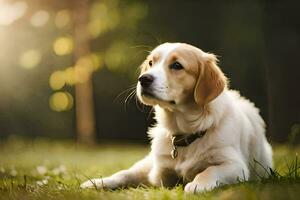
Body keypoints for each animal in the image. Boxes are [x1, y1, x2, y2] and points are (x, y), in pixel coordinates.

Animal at [81, 42, 274, 194]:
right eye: (151, 63)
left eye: (176, 65)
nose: (143, 79)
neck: (185, 131)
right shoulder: (160, 172)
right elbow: (129, 173)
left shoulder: (235, 165)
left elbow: (210, 170)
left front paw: (197, 185)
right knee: (127, 172)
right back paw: (96, 182)